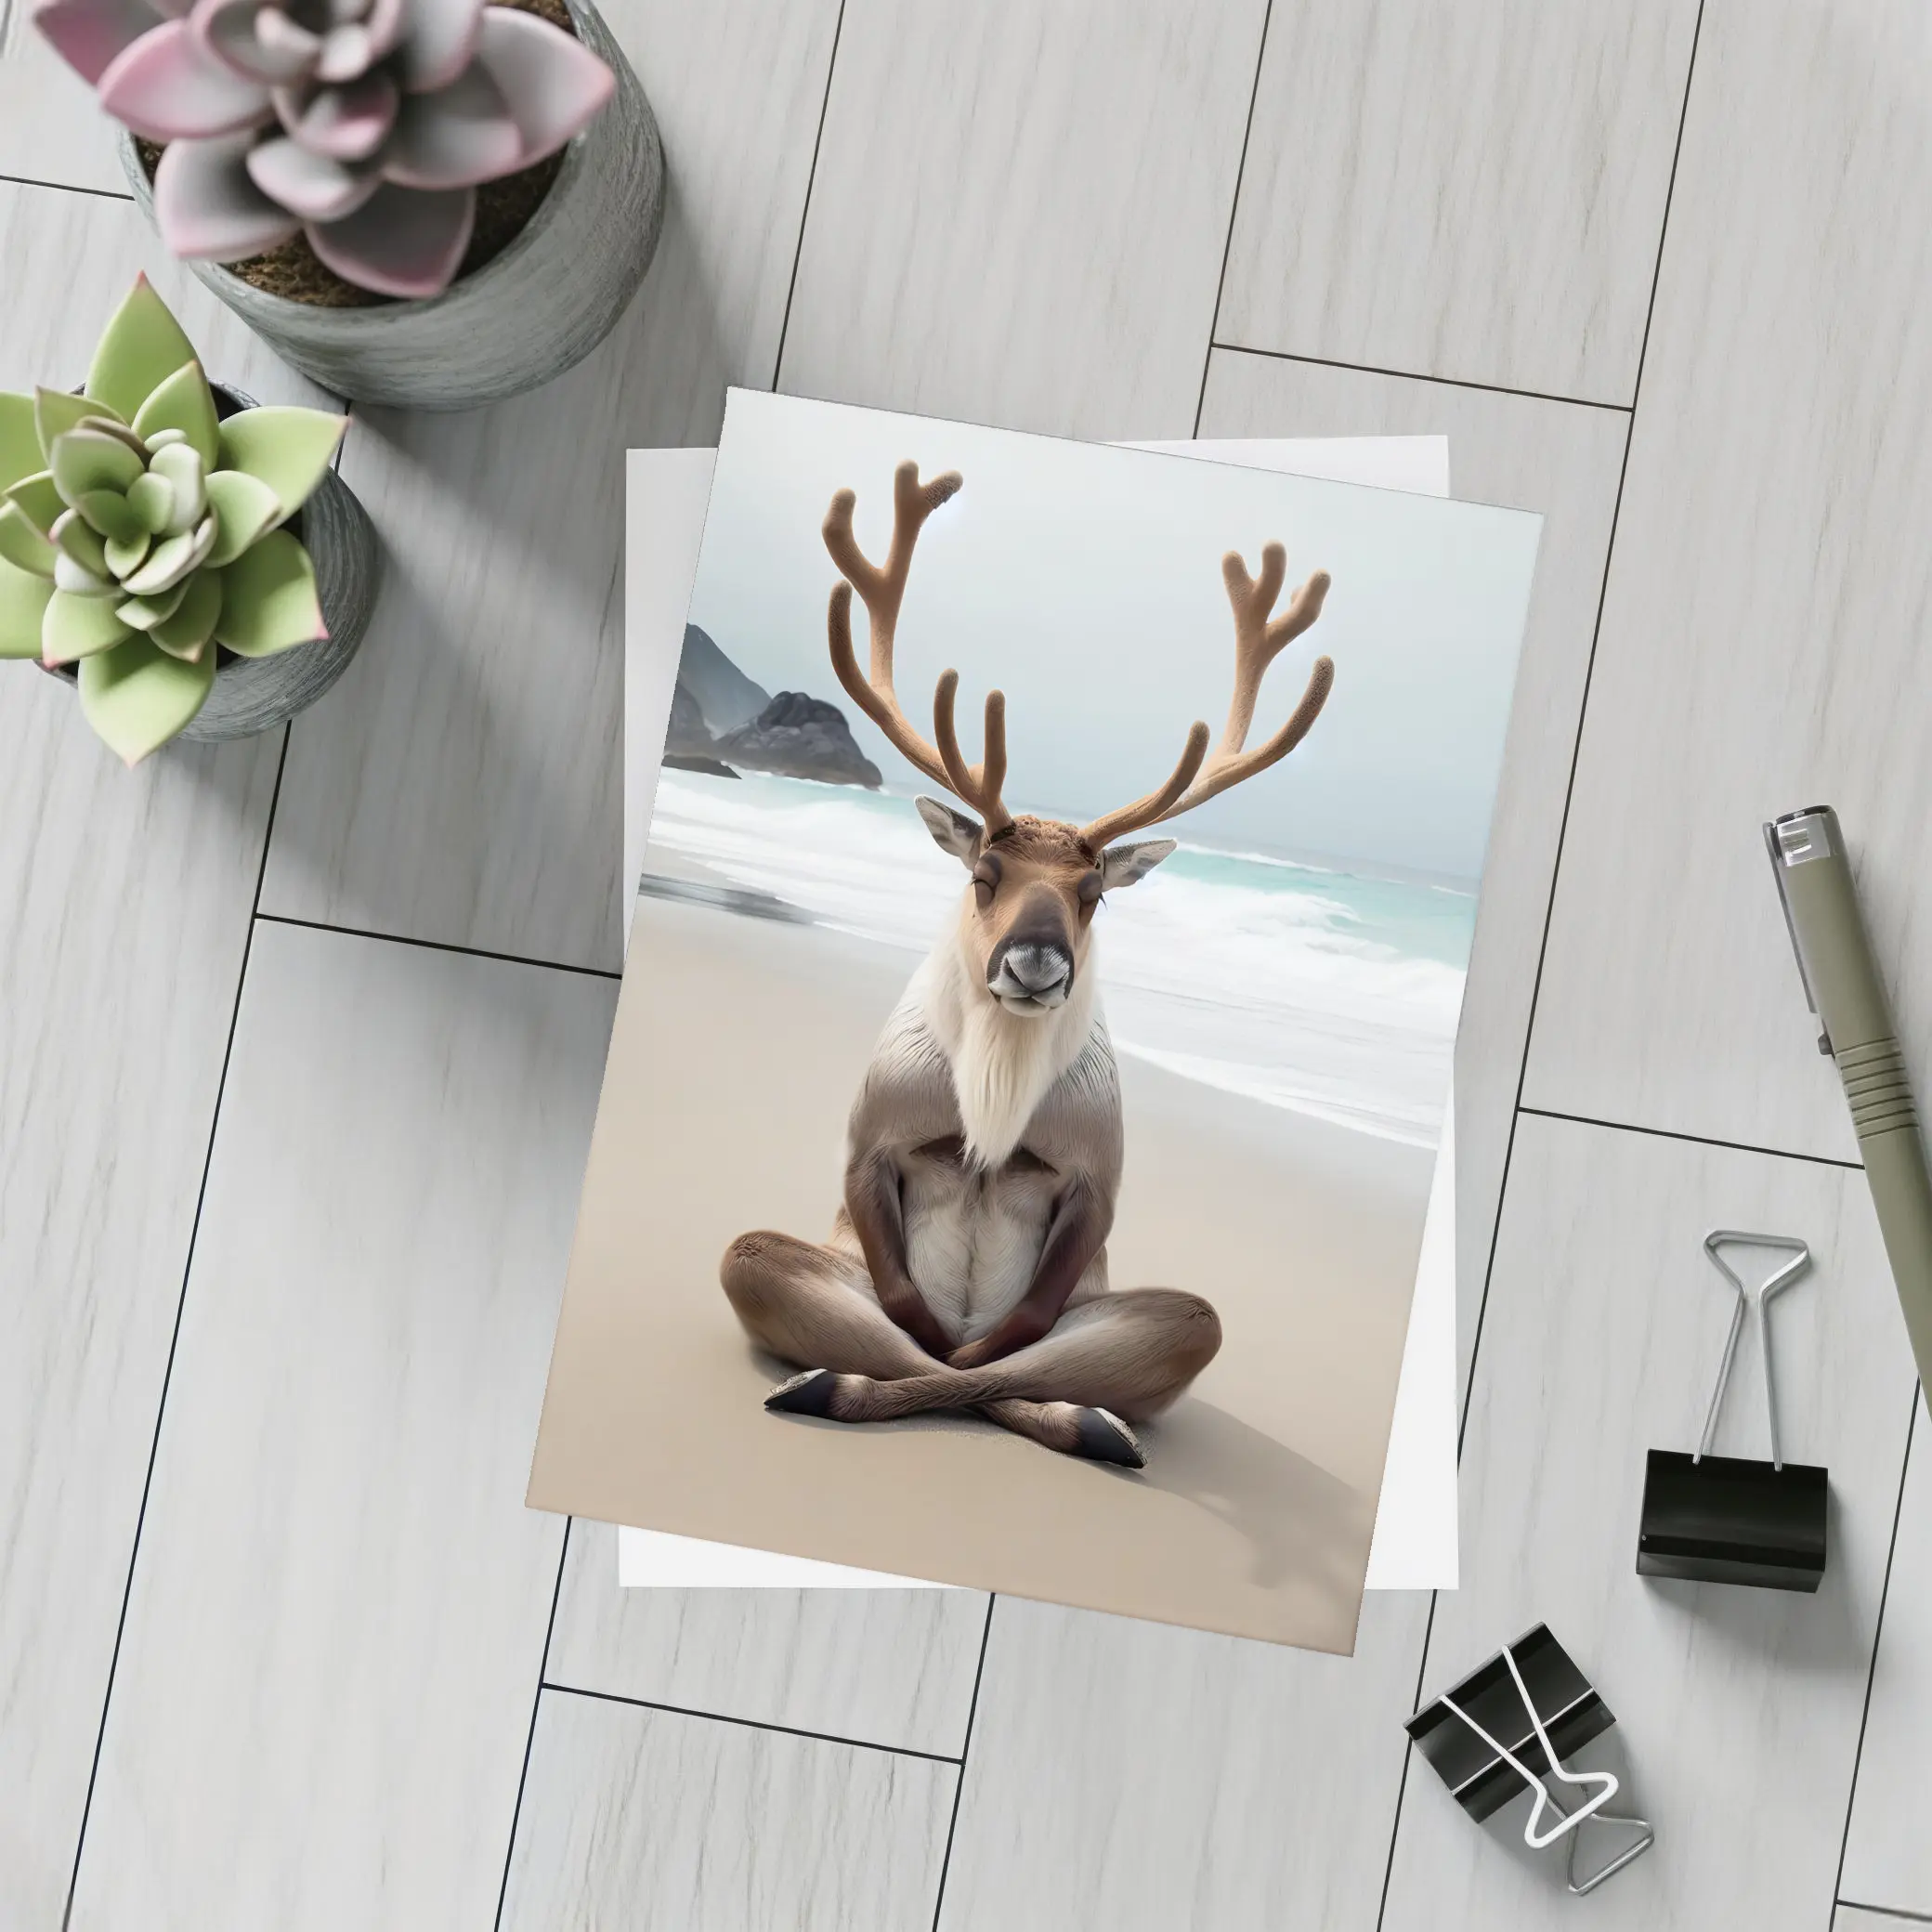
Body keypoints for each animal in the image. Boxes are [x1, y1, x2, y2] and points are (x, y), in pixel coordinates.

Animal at [719, 461, 1334, 1468]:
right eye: (983, 875)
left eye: (1093, 894)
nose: (1038, 963)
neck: (995, 1095)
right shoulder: (868, 1140)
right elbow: (906, 1311)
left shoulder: (1097, 1178)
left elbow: (1018, 1333)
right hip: (769, 1256)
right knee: (801, 1283)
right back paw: (831, 1379)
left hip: (1169, 1315)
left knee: (1104, 1344)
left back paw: (1091, 1421)